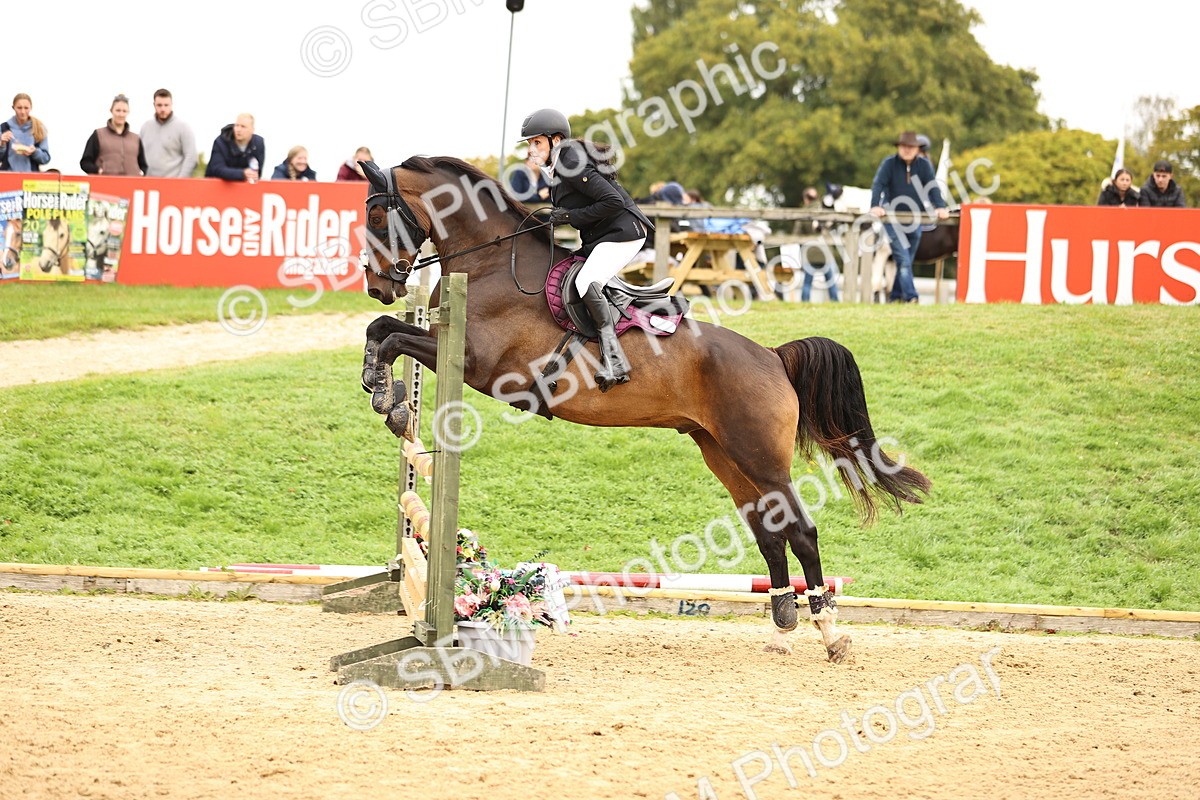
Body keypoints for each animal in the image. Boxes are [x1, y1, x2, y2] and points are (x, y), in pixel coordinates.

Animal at [357, 156, 931, 663]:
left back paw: (832, 634)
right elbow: (382, 330)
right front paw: (387, 394)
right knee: (771, 535)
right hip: (724, 455)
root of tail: (772, 356)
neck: (492, 263)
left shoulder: (481, 365)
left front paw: (389, 400)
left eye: (378, 217)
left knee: (802, 533)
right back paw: (782, 631)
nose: (378, 285)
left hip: (761, 458)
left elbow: (394, 337)